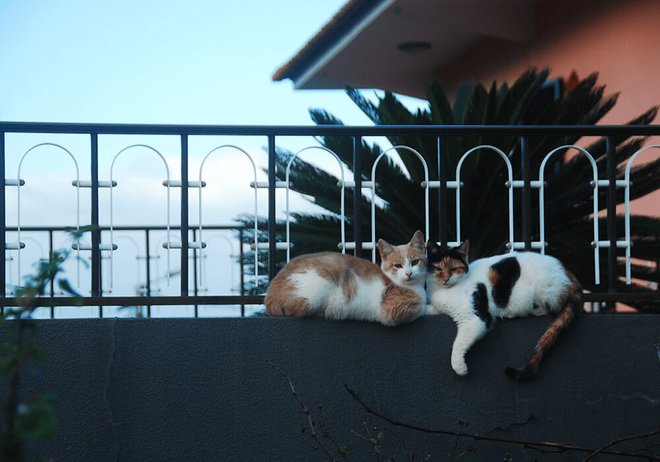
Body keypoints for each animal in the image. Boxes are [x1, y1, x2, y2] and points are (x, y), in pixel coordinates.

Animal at [266, 230, 430, 324]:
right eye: (398, 265)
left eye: (415, 262)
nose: (409, 273)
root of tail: (270, 294)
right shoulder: (393, 308)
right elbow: (422, 307)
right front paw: (432, 307)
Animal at [426, 240, 580, 380]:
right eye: (438, 268)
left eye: (453, 269)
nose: (446, 279)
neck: (443, 292)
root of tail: (568, 272)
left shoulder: (476, 319)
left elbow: (458, 343)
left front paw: (459, 366)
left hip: (542, 293)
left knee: (550, 308)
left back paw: (514, 313)